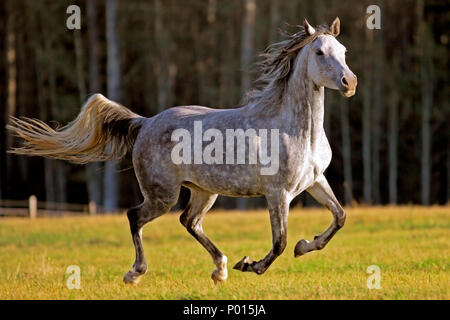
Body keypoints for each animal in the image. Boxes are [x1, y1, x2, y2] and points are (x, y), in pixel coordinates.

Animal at [7, 16, 356, 284]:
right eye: (320, 52)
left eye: (343, 51)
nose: (349, 82)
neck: (295, 130)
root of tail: (145, 122)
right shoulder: (277, 193)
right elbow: (279, 241)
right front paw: (251, 265)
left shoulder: (314, 181)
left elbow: (339, 217)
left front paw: (304, 245)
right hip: (163, 195)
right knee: (135, 216)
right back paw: (136, 273)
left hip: (204, 190)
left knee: (189, 221)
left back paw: (220, 269)